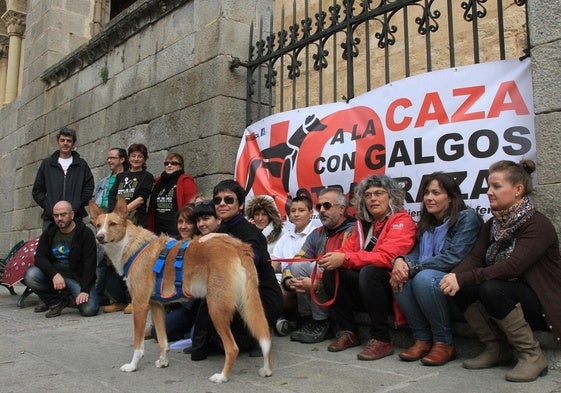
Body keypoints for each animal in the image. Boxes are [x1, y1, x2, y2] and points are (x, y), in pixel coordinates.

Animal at [88, 198, 272, 382]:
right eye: (98, 225)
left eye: (113, 224)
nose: (99, 237)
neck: (131, 244)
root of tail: (239, 246)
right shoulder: (156, 306)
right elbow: (163, 341)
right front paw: (163, 362)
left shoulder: (140, 305)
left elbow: (138, 345)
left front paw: (132, 366)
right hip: (246, 305)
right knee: (265, 338)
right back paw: (267, 370)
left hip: (216, 309)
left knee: (233, 348)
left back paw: (222, 377)